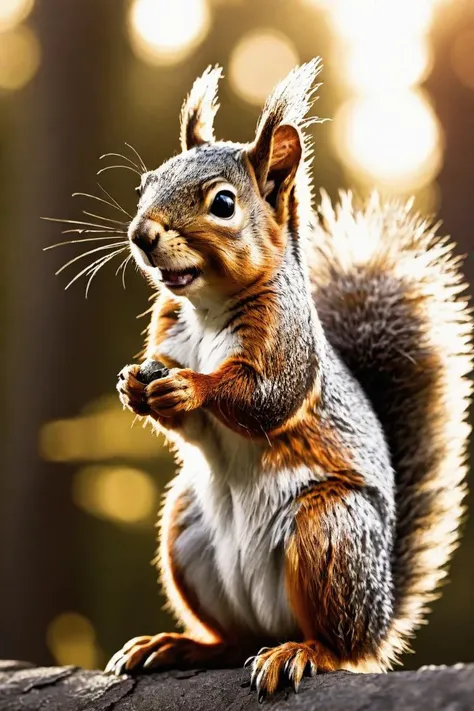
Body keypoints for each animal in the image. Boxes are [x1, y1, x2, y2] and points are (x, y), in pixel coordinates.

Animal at [103, 59, 470, 700]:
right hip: (186, 534)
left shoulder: (287, 339)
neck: (207, 308)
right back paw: (178, 646)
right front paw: (133, 385)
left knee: (338, 645)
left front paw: (191, 387)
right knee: (232, 641)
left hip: (329, 533)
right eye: (146, 182)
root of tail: (380, 617)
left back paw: (302, 651)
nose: (141, 234)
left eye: (223, 203)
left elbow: (266, 398)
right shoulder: (168, 330)